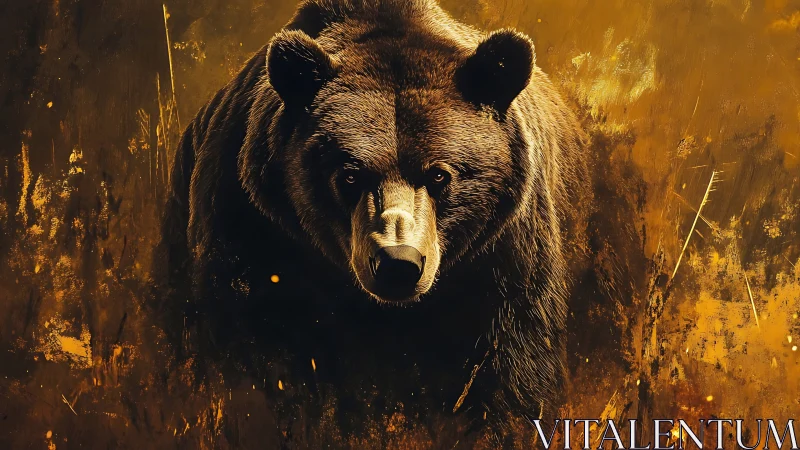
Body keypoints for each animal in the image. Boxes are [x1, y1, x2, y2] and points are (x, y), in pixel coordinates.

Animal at [154, 0, 589, 445]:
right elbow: (248, 354)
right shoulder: (252, 226)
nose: (399, 262)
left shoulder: (502, 255)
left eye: (439, 175)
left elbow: (513, 364)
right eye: (349, 175)